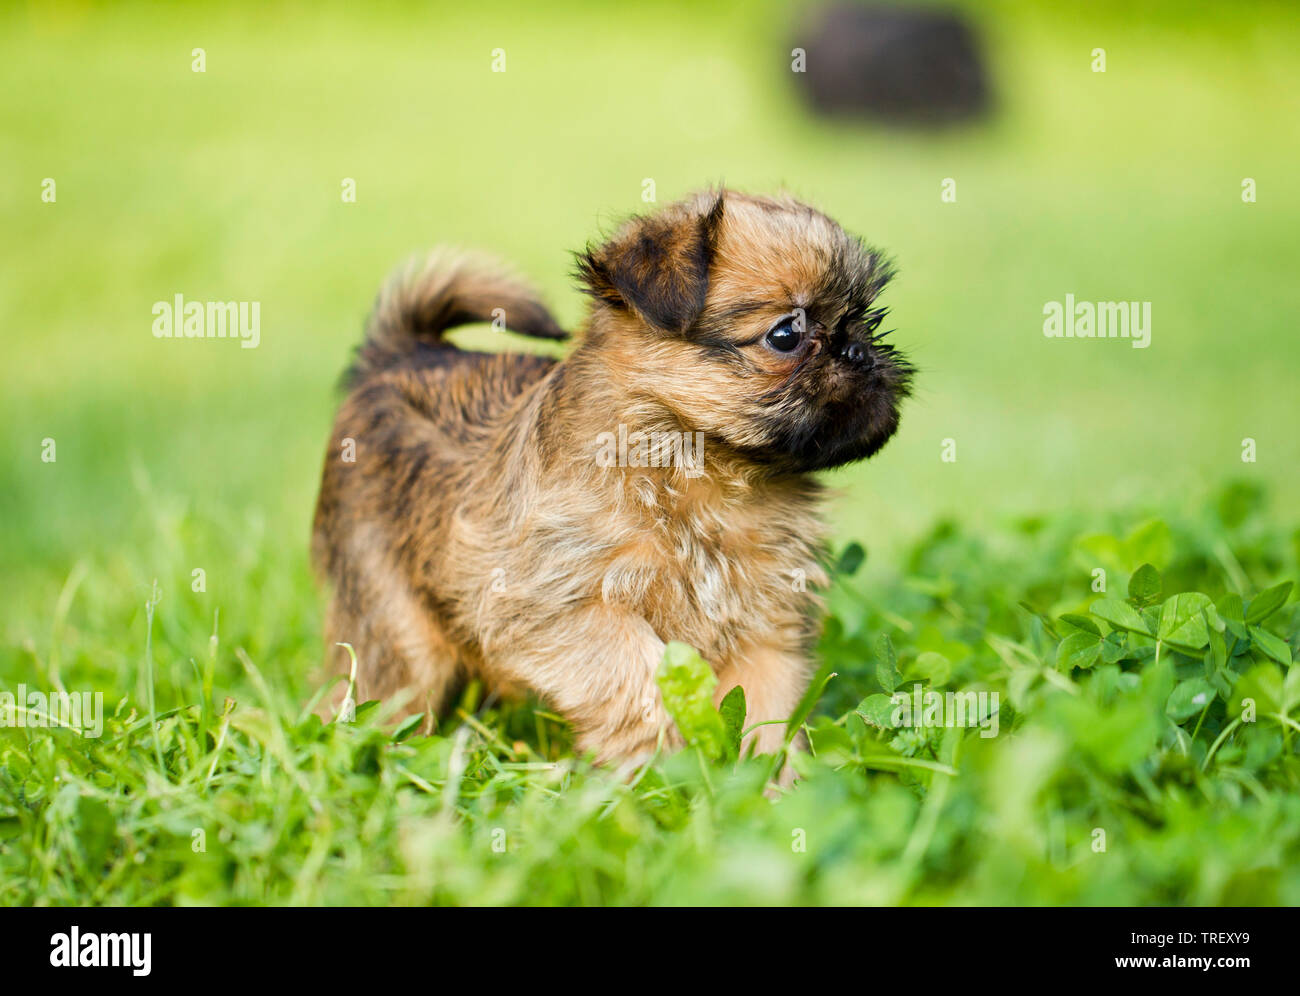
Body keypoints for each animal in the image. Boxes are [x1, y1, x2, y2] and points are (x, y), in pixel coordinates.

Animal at [309, 187, 909, 764]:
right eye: (787, 334)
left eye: (869, 317)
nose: (860, 351)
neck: (701, 468)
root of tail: (399, 355)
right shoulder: (563, 607)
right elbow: (635, 677)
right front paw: (655, 765)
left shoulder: (768, 626)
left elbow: (766, 717)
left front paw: (767, 784)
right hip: (397, 633)